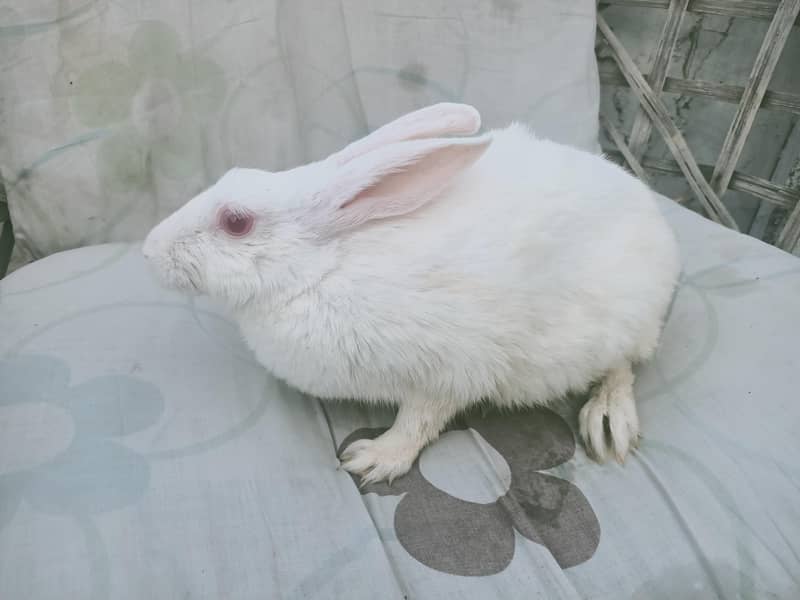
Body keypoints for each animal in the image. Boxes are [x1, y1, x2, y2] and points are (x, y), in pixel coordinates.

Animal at [143, 103, 680, 485]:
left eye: (236, 222)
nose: (149, 251)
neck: (324, 267)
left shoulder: (450, 370)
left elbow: (420, 420)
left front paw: (374, 459)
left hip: (616, 324)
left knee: (624, 364)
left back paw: (609, 421)